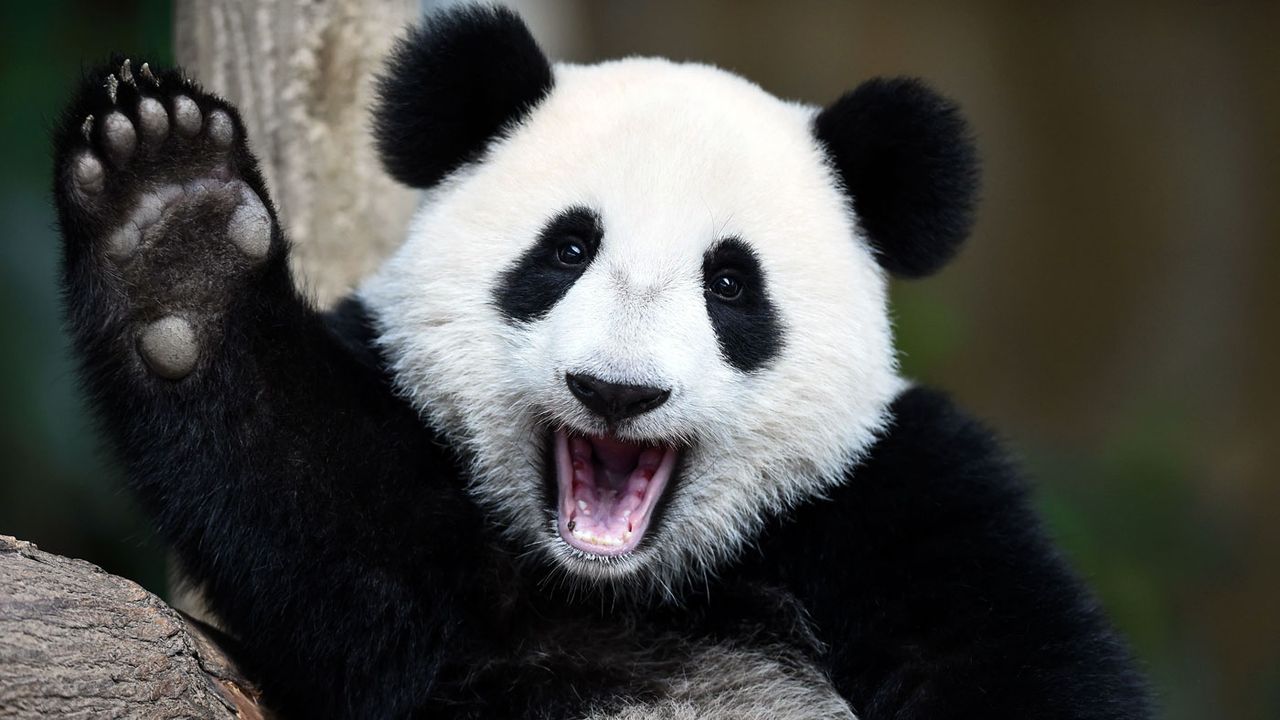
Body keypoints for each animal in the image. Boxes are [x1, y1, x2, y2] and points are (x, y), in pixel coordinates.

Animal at [52, 4, 1152, 719]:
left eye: (730, 285)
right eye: (568, 250)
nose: (617, 392)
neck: (624, 585)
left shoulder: (898, 499)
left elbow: (1016, 662)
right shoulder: (437, 570)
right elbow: (330, 524)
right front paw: (174, 224)